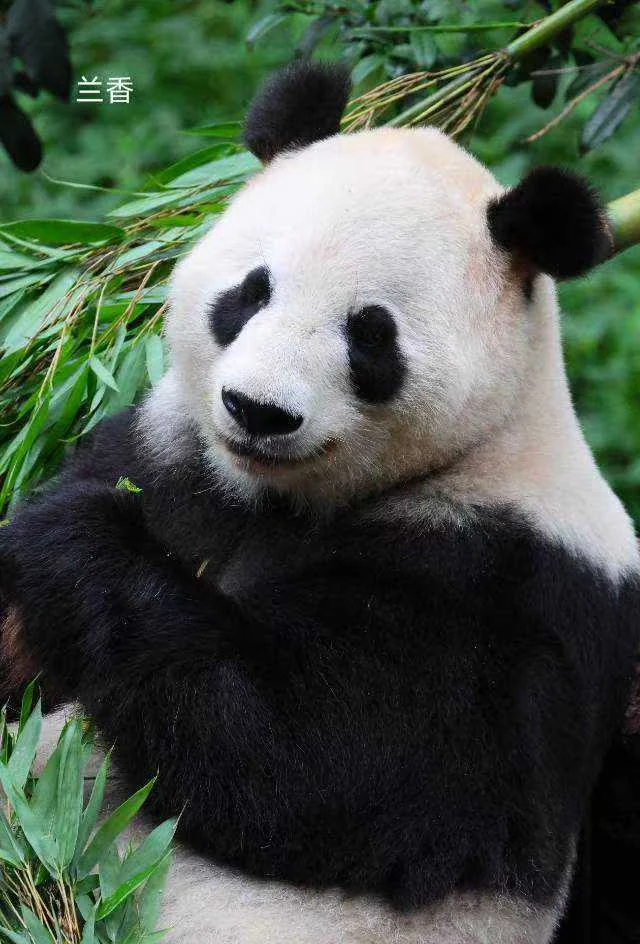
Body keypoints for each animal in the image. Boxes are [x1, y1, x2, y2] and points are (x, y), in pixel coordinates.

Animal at [0, 60, 639, 944]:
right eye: (251, 291)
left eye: (370, 334)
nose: (257, 411)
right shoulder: (174, 454)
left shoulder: (505, 587)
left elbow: (307, 752)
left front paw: (76, 533)